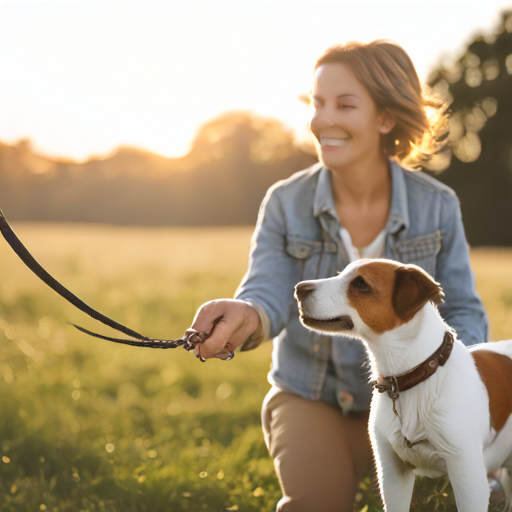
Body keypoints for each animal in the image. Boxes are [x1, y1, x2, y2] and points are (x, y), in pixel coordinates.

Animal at [294, 260, 512, 512]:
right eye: (342, 274)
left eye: (361, 284)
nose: (299, 288)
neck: (415, 377)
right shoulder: (392, 473)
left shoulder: (467, 474)